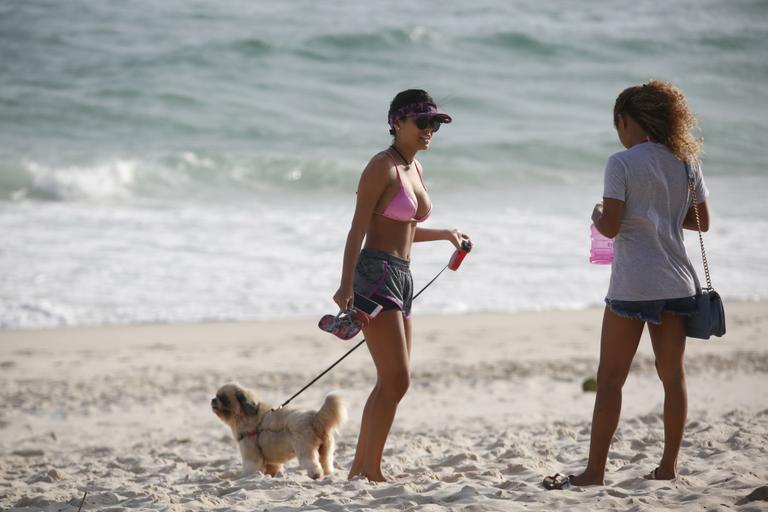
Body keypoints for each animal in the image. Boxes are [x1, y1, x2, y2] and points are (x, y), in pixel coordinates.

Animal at [208, 382, 344, 478]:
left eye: (223, 399)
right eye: (217, 396)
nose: (213, 399)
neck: (245, 415)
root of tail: (313, 417)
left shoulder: (250, 453)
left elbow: (250, 468)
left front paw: (245, 478)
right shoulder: (271, 461)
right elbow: (272, 468)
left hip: (305, 450)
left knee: (312, 464)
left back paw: (316, 475)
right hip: (325, 450)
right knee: (325, 462)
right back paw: (327, 474)